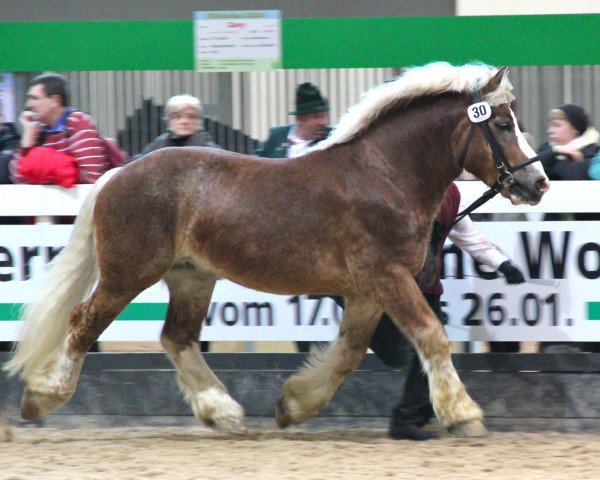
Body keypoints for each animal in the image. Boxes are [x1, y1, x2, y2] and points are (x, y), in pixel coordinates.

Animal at [3, 62, 548, 436]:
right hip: (127, 273)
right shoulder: (387, 277)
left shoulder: (369, 290)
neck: (386, 174)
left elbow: (349, 353)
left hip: (192, 276)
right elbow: (431, 336)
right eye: (502, 125)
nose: (538, 183)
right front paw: (463, 413)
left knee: (176, 337)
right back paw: (42, 397)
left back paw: (223, 411)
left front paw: (294, 405)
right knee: (82, 322)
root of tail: (117, 173)